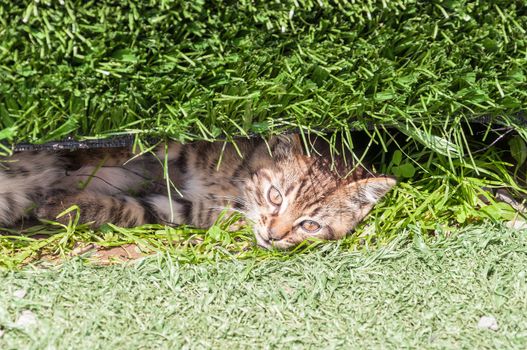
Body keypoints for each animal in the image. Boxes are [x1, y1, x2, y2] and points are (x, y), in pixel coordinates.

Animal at [0, 134, 396, 249]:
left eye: (310, 225)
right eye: (275, 196)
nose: (274, 234)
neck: (234, 186)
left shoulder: (192, 209)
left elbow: (138, 209)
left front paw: (70, 207)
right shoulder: (191, 146)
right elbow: (138, 145)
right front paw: (76, 158)